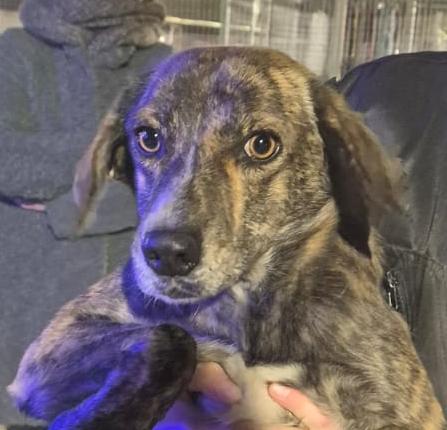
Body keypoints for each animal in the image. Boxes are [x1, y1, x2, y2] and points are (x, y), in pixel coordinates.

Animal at [9, 47, 445, 429]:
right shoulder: (53, 346)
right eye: (148, 138)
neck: (248, 305)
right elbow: (171, 337)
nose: (165, 253)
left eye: (262, 145)